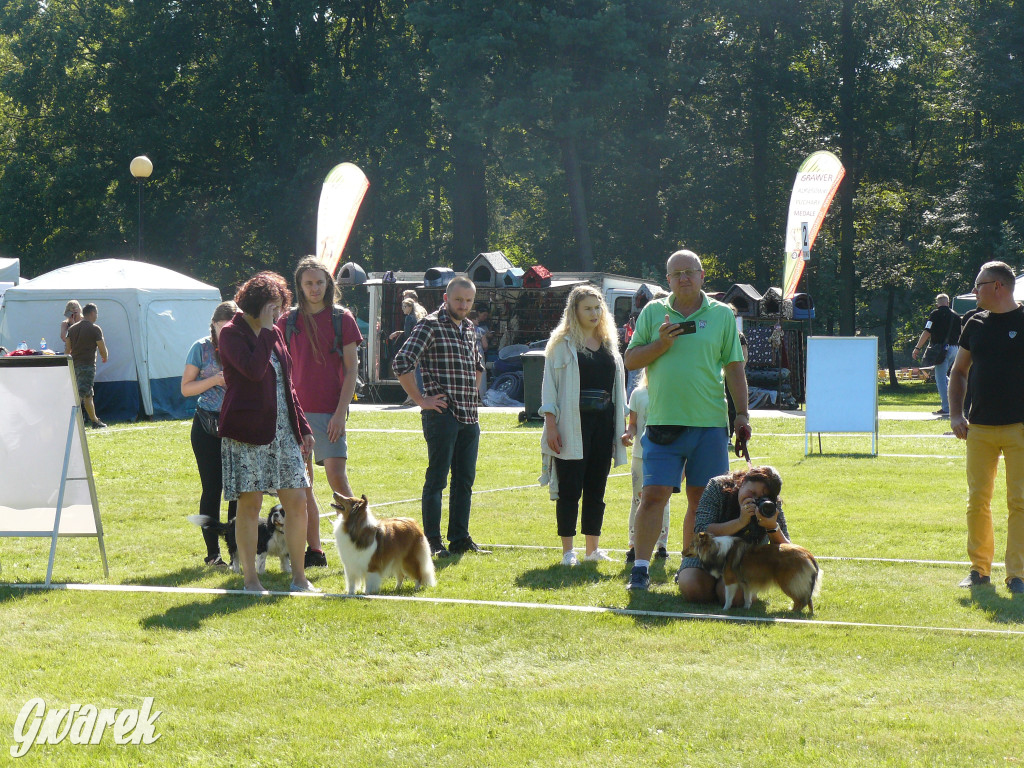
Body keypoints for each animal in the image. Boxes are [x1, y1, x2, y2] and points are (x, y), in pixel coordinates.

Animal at [684, 532, 819, 618]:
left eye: (691, 545)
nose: (682, 551)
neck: (716, 549)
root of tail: (808, 555)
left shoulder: (730, 581)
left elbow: (728, 597)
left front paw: (724, 609)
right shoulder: (746, 583)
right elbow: (747, 596)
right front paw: (746, 608)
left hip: (788, 583)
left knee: (800, 600)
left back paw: (791, 613)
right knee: (807, 600)